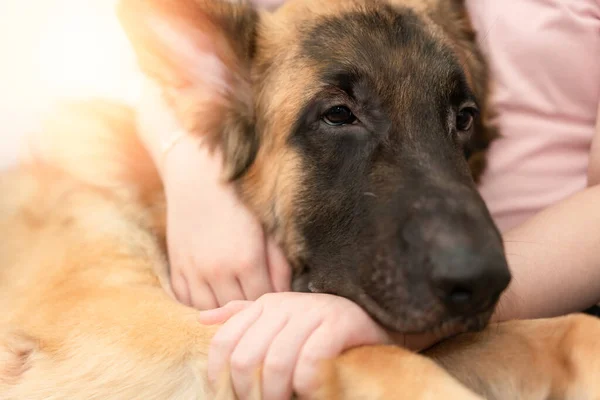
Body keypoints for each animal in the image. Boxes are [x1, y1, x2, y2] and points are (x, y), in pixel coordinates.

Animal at [3, 0, 600, 400]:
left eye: (464, 117)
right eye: (338, 114)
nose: (484, 282)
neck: (159, 210)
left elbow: (567, 328)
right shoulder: (158, 333)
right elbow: (375, 354)